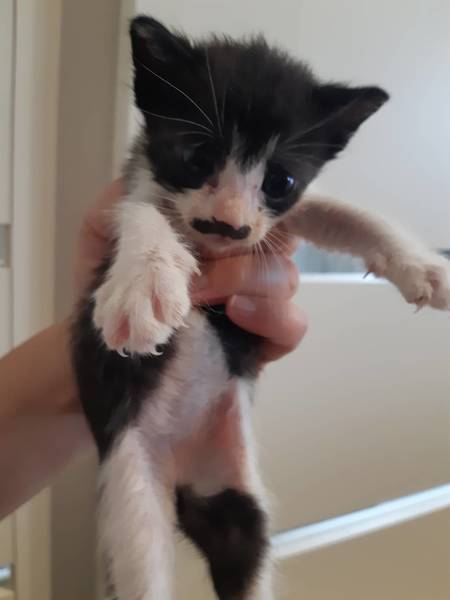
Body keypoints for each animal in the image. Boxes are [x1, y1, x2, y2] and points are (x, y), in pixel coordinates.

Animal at [72, 15, 450, 600]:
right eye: (195, 157)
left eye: (280, 180)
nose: (227, 224)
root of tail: (184, 474)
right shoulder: (135, 186)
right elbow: (139, 210)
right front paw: (144, 282)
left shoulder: (280, 220)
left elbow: (339, 211)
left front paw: (422, 266)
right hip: (132, 496)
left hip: (236, 500)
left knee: (244, 545)